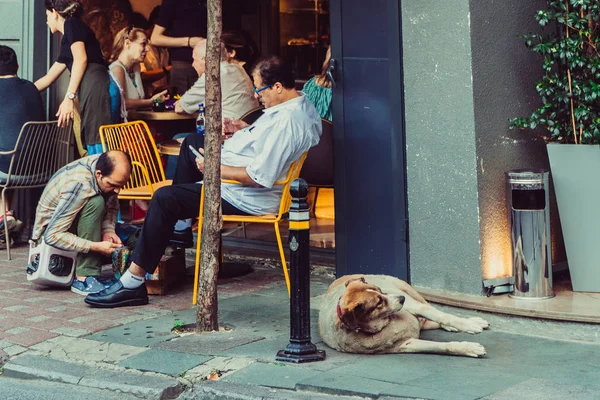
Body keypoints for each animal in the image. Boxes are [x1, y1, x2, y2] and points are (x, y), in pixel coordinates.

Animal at [316, 276, 490, 356]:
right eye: (379, 302)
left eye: (380, 290)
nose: (401, 299)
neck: (386, 323)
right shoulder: (405, 345)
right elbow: (438, 346)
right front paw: (468, 348)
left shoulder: (415, 306)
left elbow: (444, 316)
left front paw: (468, 325)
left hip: (410, 292)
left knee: (433, 310)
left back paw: (468, 322)